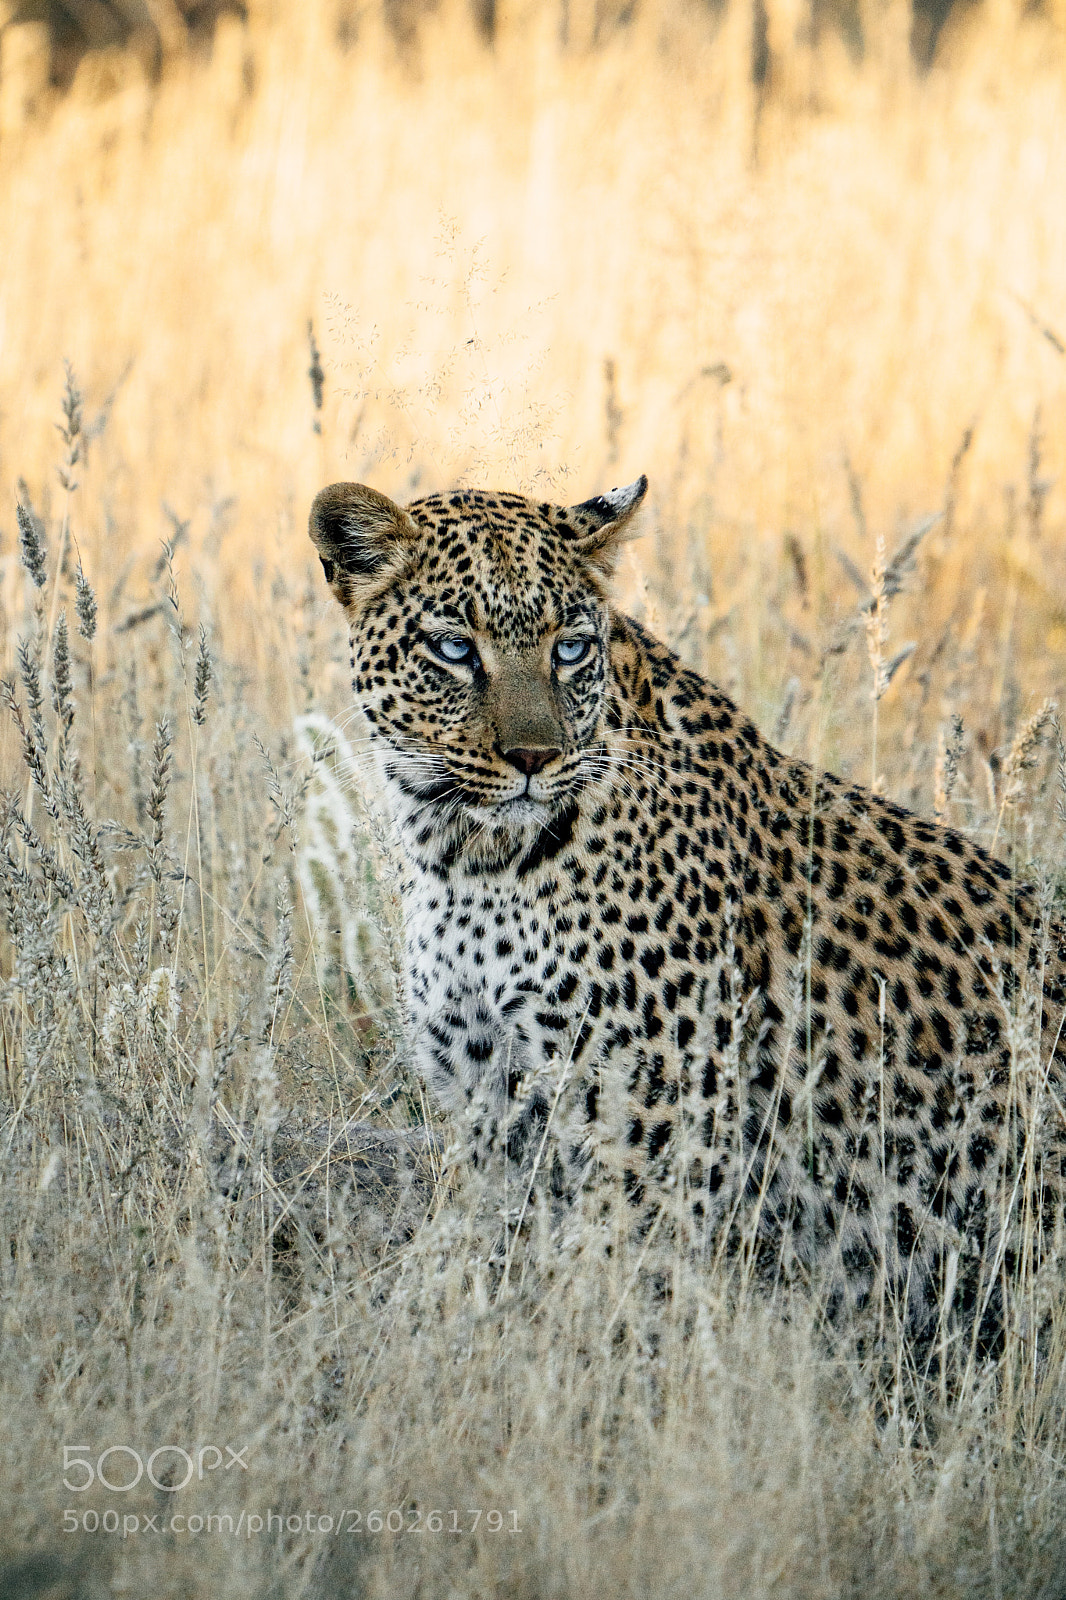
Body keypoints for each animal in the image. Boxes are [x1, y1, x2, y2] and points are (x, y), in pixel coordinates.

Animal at [309, 472, 1066, 1346]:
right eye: (456, 649)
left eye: (570, 648)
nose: (535, 758)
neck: (467, 857)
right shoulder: (489, 1107)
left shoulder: (654, 1127)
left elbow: (604, 1305)